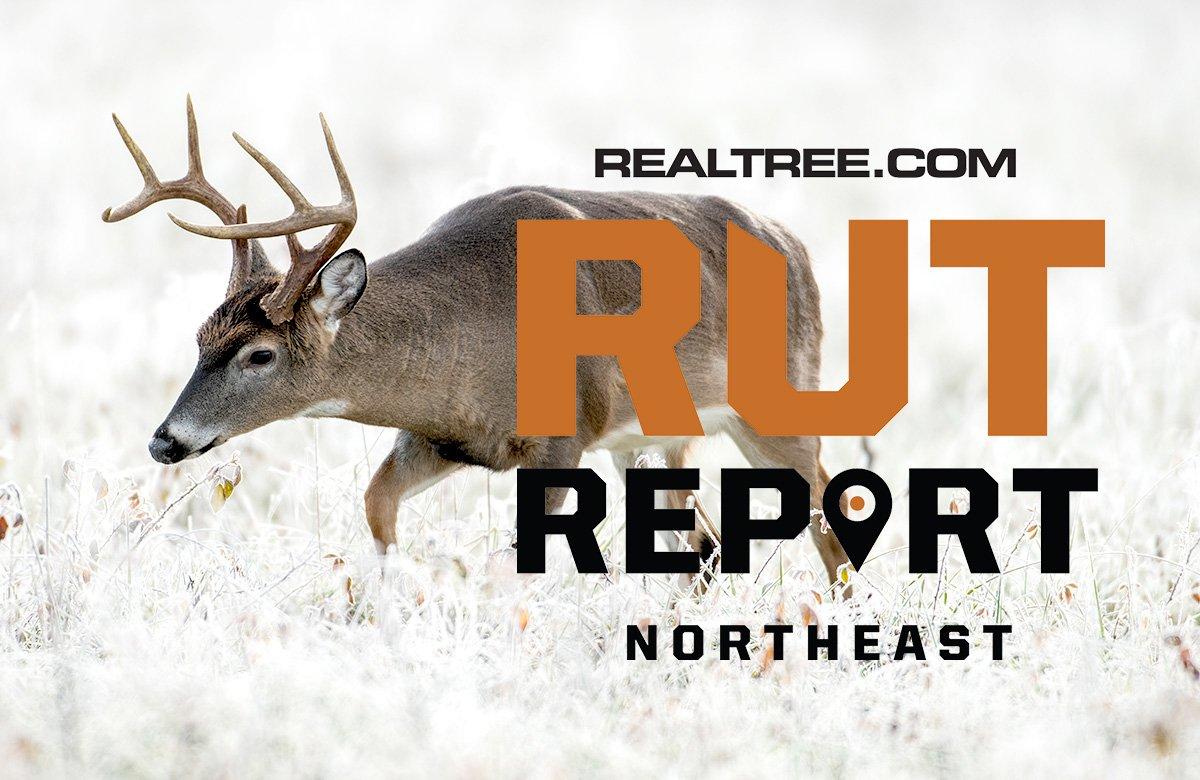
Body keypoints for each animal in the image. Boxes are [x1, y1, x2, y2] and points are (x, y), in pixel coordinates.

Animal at [102, 98, 851, 585]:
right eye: (200, 338)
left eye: (261, 354)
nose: (165, 440)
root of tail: (796, 246)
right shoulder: (440, 435)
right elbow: (377, 507)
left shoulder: (564, 436)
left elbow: (510, 569)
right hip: (654, 441)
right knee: (709, 549)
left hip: (782, 401)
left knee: (826, 514)